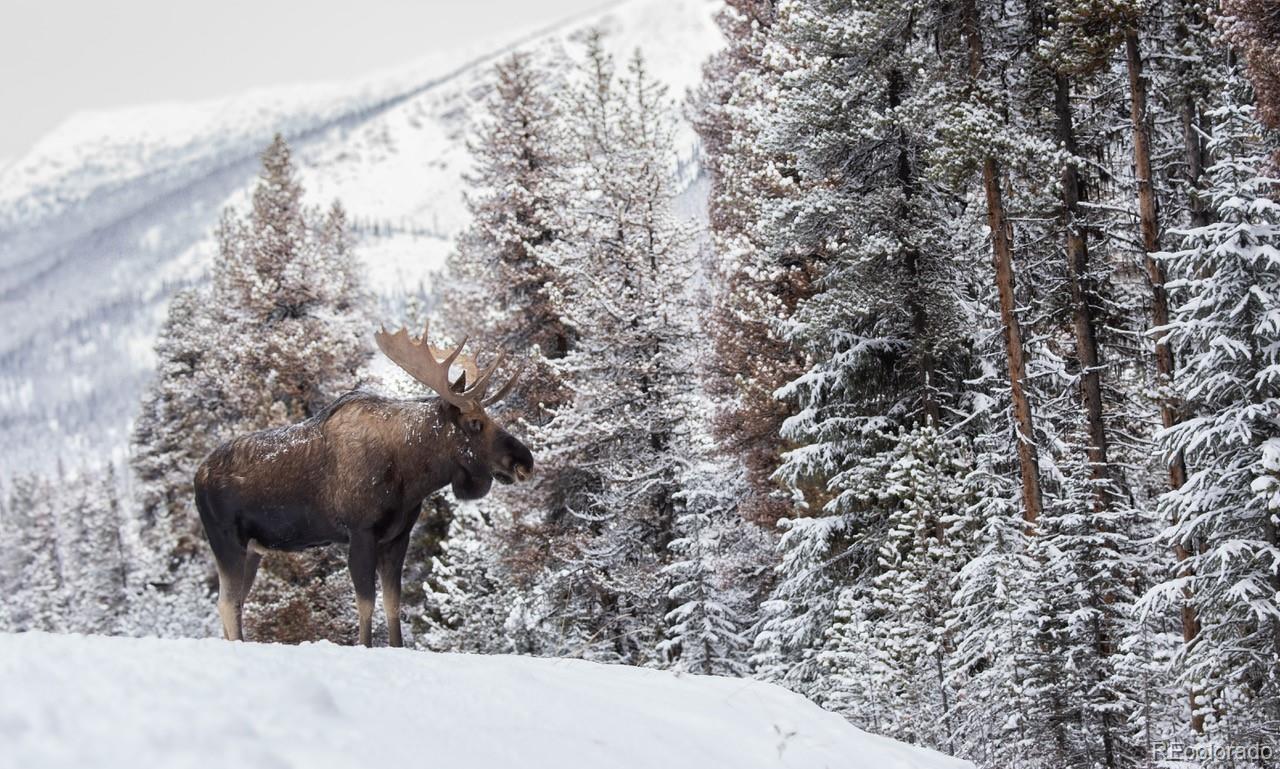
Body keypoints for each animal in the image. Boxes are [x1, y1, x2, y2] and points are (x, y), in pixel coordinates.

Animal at [192, 321, 532, 644]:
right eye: (475, 423)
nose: (524, 461)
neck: (411, 476)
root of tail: (198, 476)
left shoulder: (397, 537)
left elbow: (393, 605)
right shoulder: (360, 532)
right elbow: (366, 605)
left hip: (253, 549)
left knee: (234, 602)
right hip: (226, 540)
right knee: (227, 602)